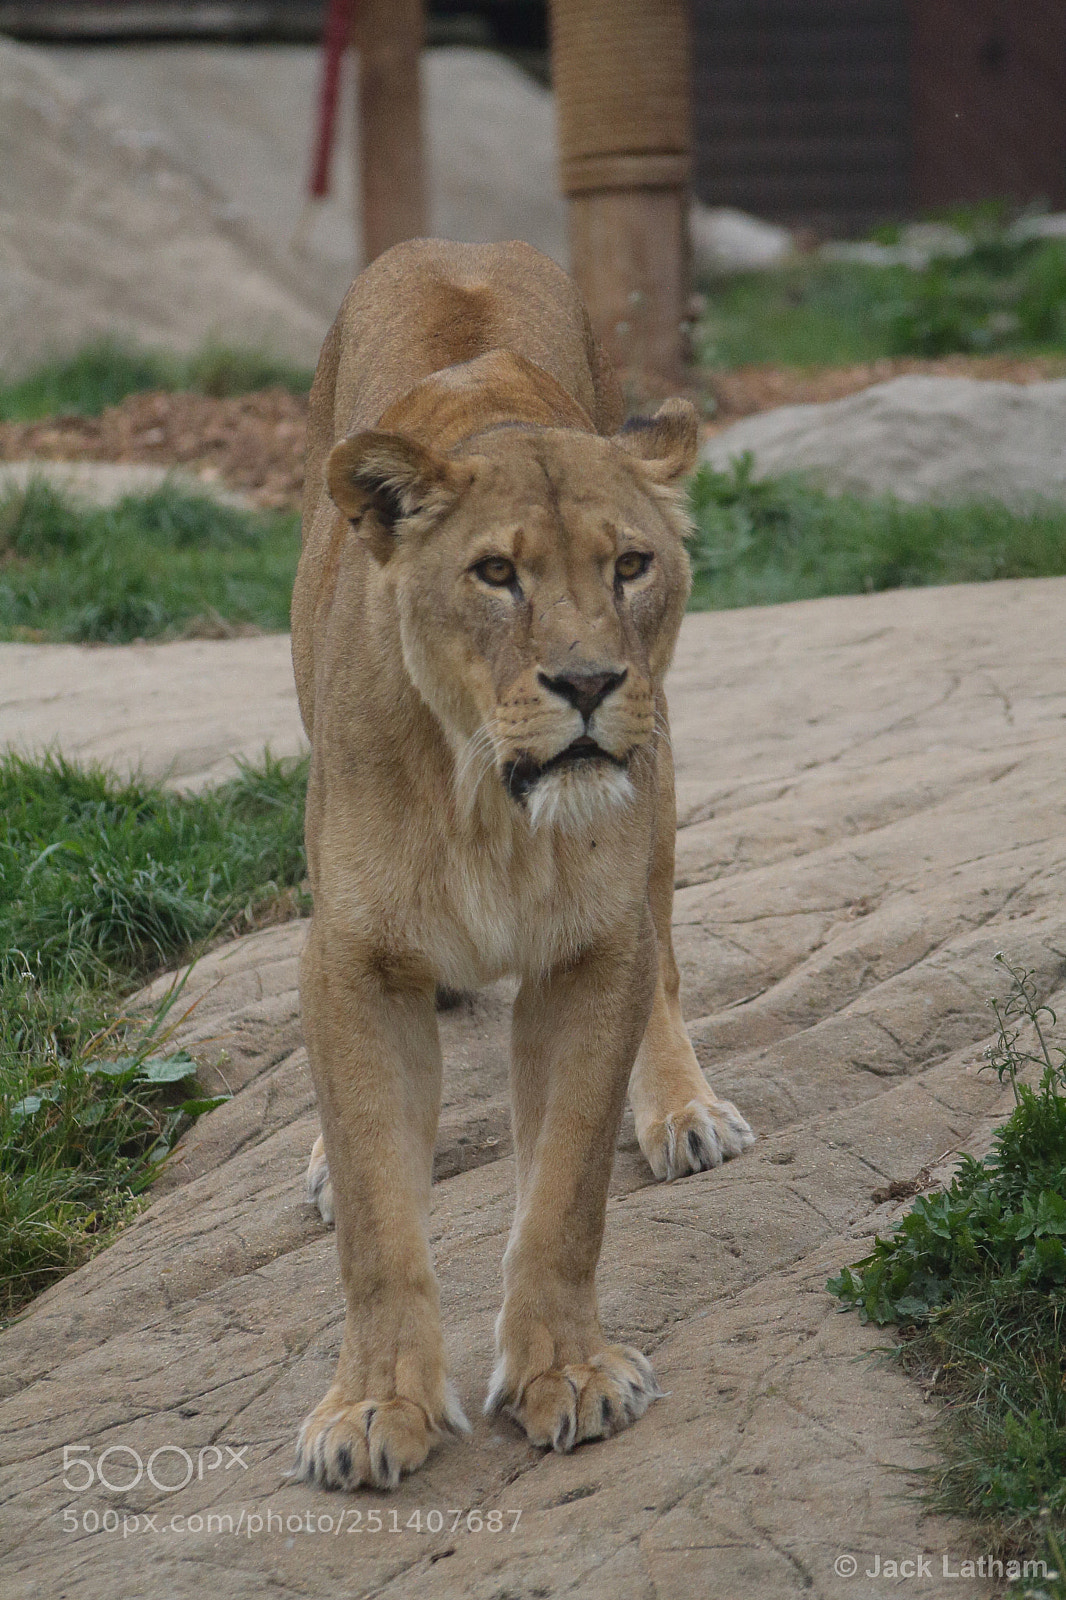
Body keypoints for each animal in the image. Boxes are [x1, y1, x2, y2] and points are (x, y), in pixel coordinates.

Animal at [289, 238, 753, 1492]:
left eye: (630, 563)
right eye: (496, 574)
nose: (589, 682)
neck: (486, 805)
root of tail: (454, 244)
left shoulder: (591, 951)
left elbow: (564, 1197)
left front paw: (569, 1375)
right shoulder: (353, 958)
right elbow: (377, 1217)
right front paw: (372, 1405)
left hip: (662, 780)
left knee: (668, 965)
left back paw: (685, 1111)